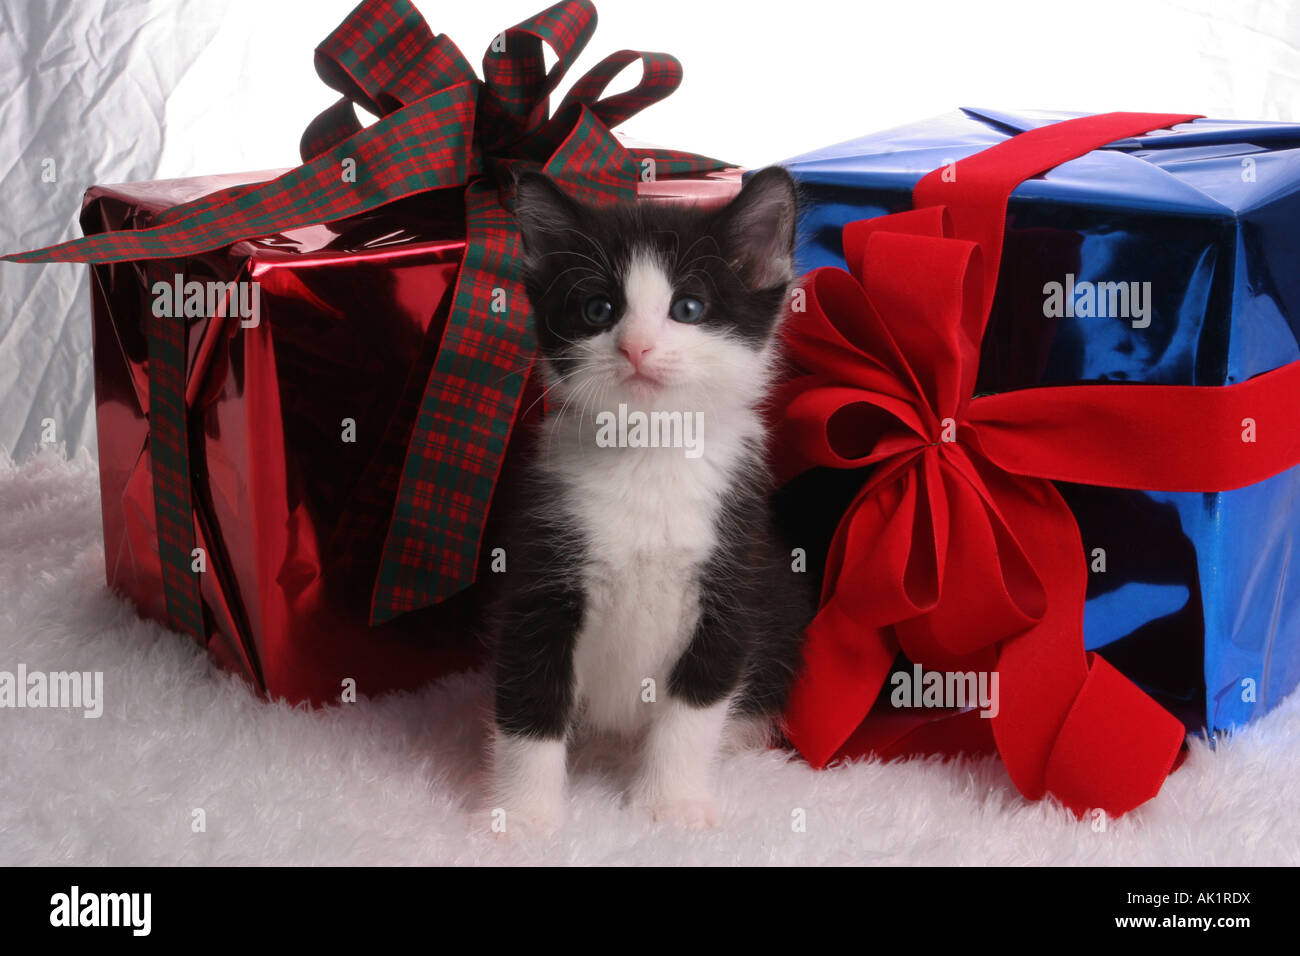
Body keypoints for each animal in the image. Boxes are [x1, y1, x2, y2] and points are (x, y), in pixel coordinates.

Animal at [488, 166, 806, 832]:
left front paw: (671, 804)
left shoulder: (736, 574)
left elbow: (696, 703)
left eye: (688, 307)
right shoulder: (539, 569)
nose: (634, 346)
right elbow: (530, 695)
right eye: (598, 308)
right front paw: (523, 819)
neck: (647, 455)